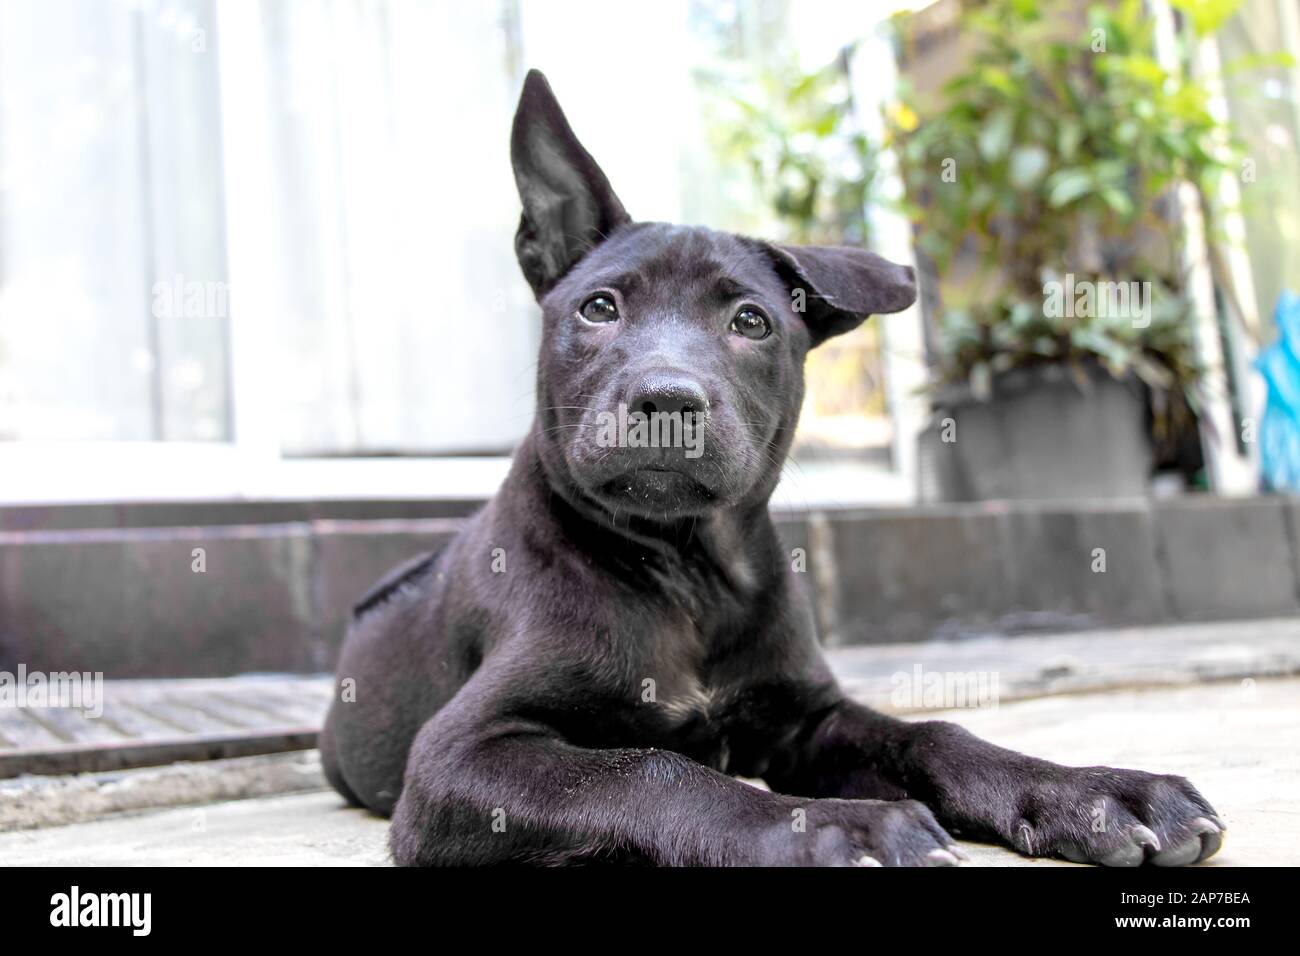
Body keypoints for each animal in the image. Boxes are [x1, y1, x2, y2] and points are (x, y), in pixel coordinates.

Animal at [319, 72, 1222, 868]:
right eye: (599, 307)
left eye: (751, 321)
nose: (667, 398)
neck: (687, 571)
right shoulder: (461, 753)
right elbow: (650, 768)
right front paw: (836, 826)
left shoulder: (806, 718)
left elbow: (932, 735)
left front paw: (1094, 792)